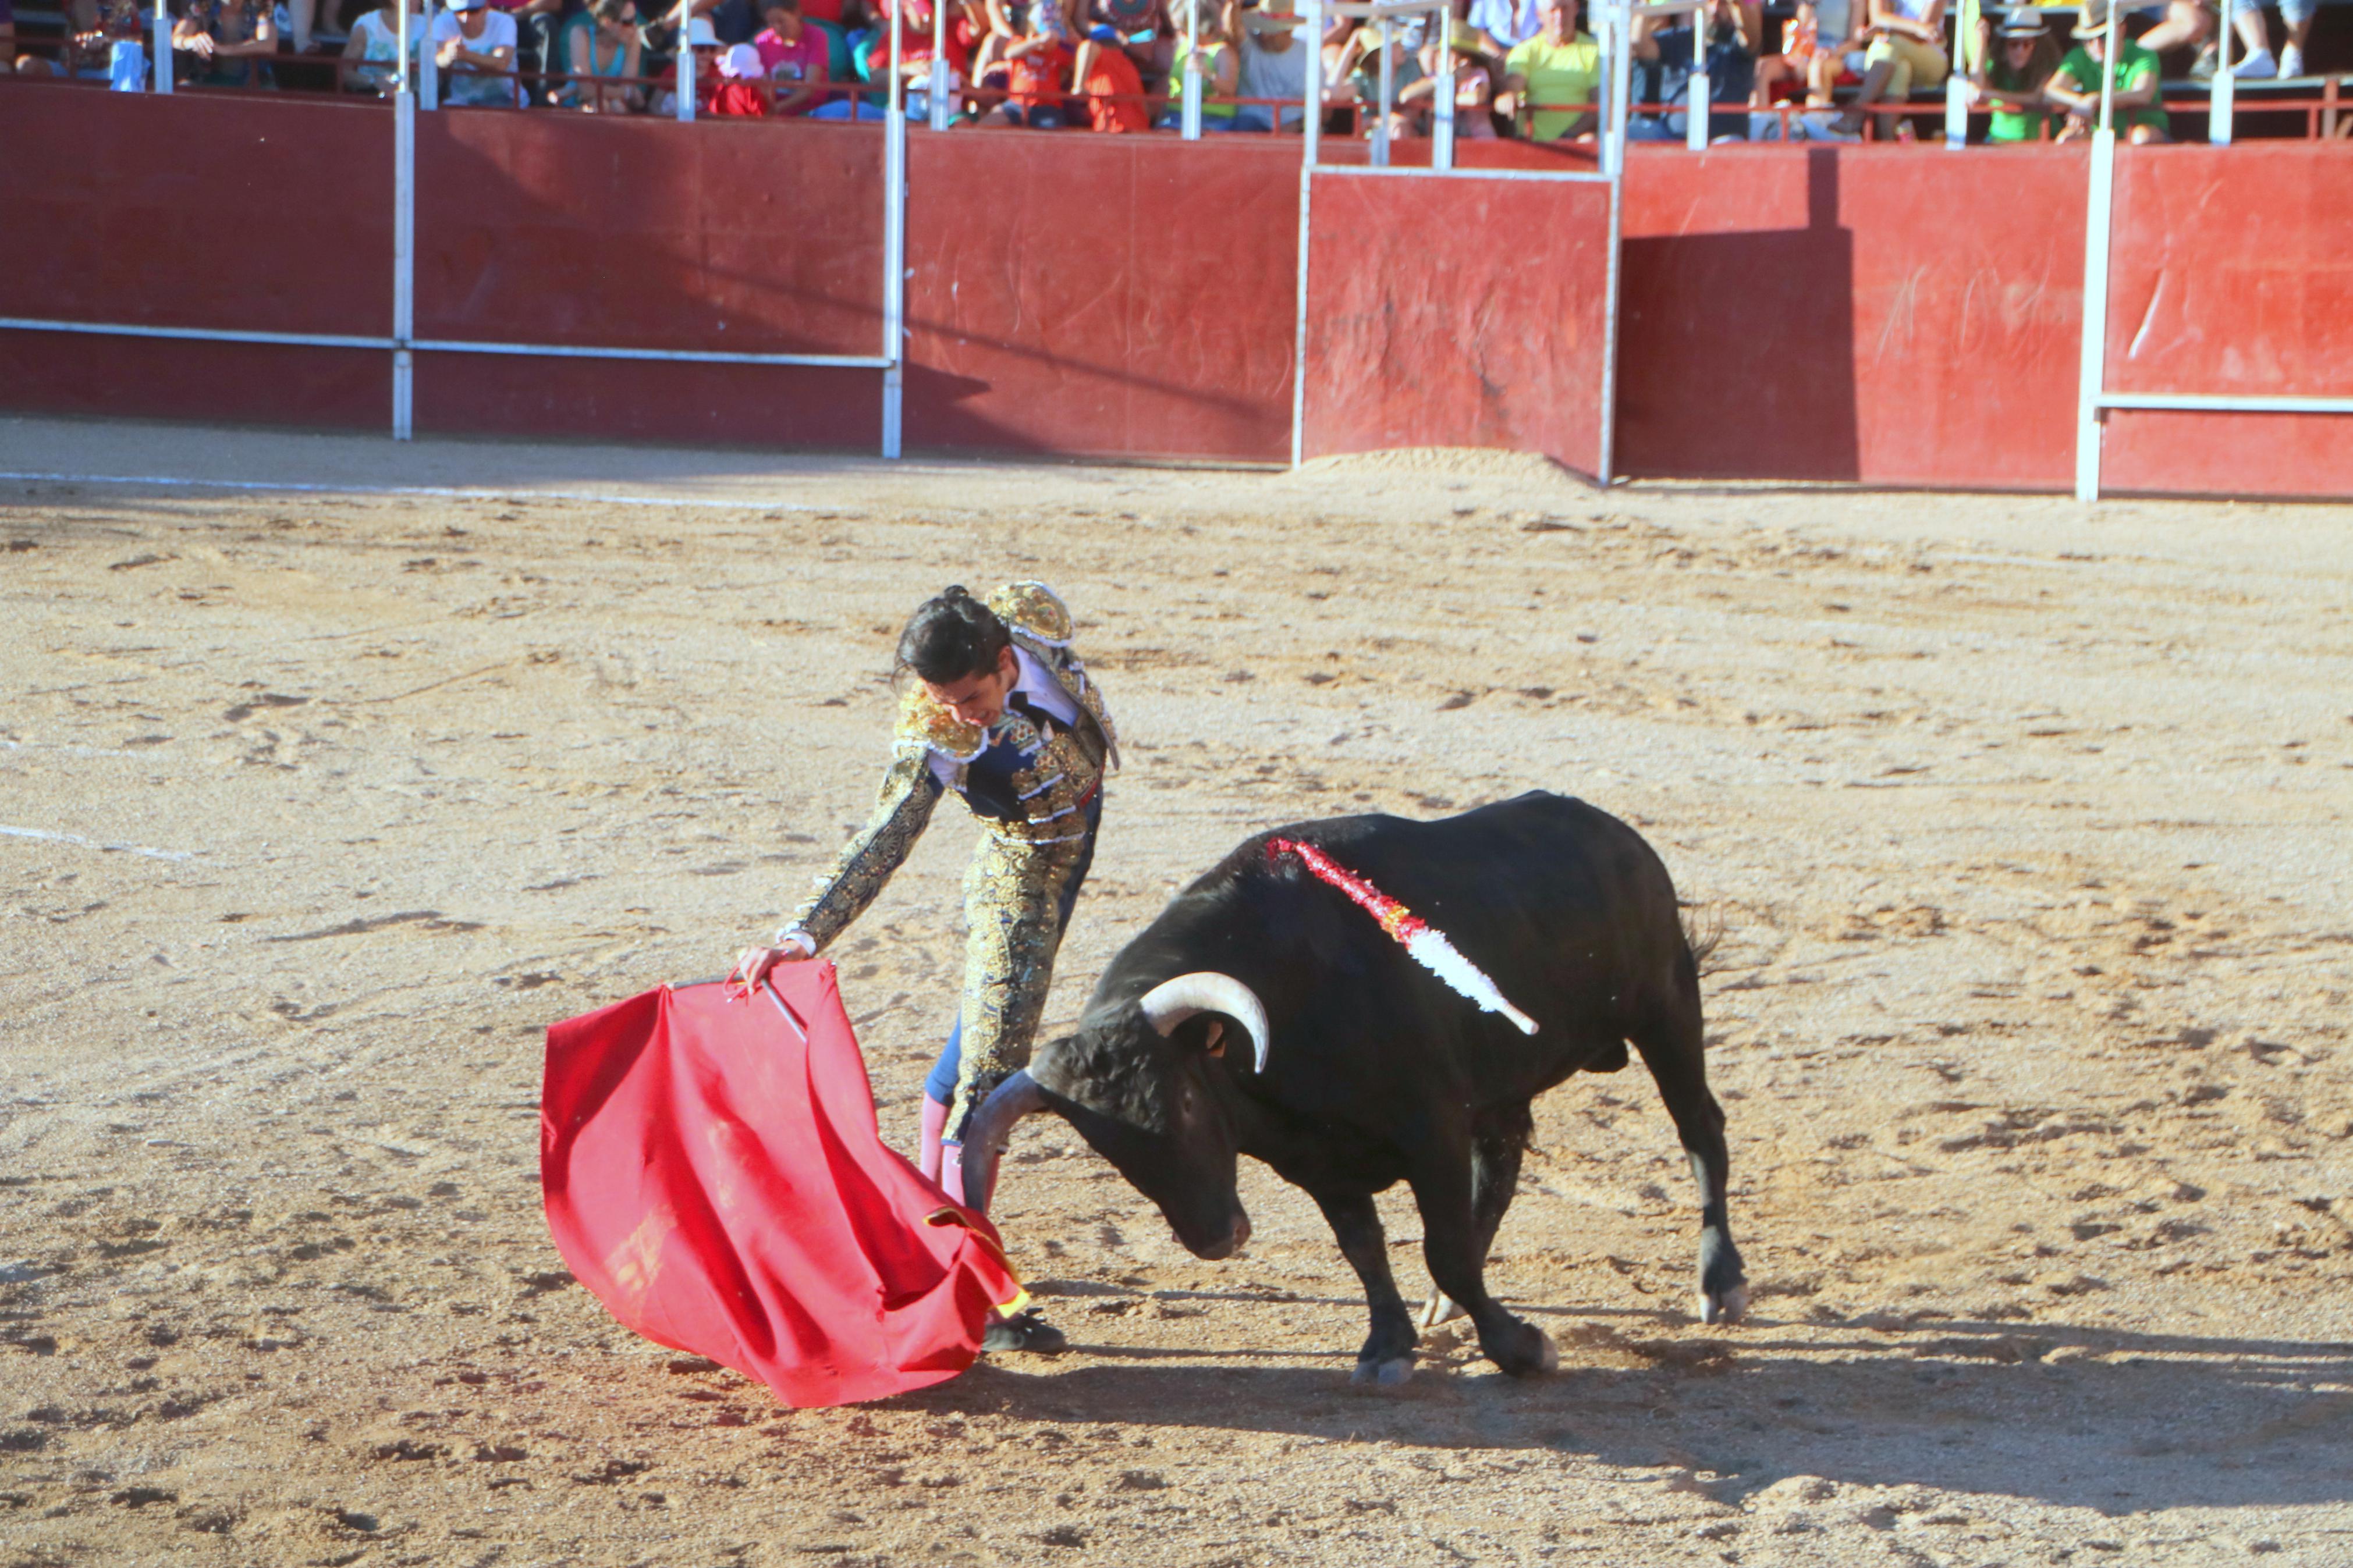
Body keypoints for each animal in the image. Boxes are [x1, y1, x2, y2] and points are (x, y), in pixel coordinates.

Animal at [960, 799, 1750, 1382]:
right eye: (1109, 1147)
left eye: (1182, 1101)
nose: (1217, 1239)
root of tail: (1617, 834)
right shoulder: (1318, 1163)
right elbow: (1364, 1248)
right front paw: (1389, 1345)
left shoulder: (1431, 1129)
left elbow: (1443, 1248)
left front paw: (1521, 1348)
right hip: (1505, 1089)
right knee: (1498, 1174)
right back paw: (1444, 1307)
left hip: (1667, 1007)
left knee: (1699, 1130)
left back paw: (1719, 1282)